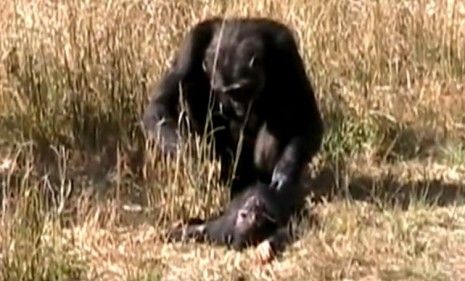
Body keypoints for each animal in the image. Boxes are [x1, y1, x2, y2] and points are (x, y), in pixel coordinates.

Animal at [141, 17, 322, 197]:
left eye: (241, 90)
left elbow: (308, 117)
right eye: (229, 92)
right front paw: (193, 157)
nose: (237, 104)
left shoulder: (286, 48)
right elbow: (158, 106)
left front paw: (285, 170)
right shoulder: (192, 44)